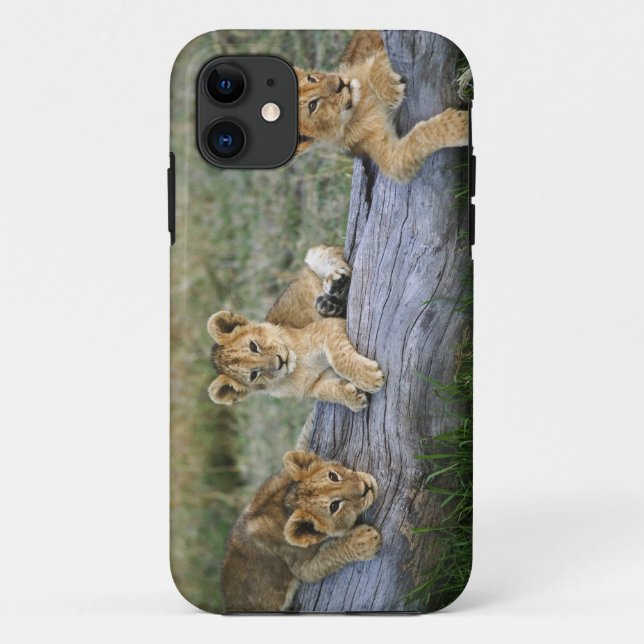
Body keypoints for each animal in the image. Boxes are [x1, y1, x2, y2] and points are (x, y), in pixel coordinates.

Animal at [207, 244, 384, 412]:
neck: (297, 367)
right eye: (253, 375)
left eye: (253, 346)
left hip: (314, 254)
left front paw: (370, 378)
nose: (280, 361)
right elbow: (325, 392)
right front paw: (355, 399)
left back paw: (334, 289)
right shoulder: (312, 385)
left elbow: (338, 357)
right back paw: (330, 304)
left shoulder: (326, 327)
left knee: (338, 262)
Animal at [222, 450, 382, 612]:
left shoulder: (271, 485)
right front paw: (364, 540)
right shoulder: (300, 565)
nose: (365, 487)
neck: (286, 505)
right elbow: (331, 555)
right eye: (334, 506)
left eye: (333, 476)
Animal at [295, 30, 469, 182]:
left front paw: (389, 88)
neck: (361, 103)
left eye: (312, 79)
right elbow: (409, 149)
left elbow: (377, 63)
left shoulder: (373, 51)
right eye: (312, 106)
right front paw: (461, 125)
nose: (340, 83)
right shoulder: (383, 152)